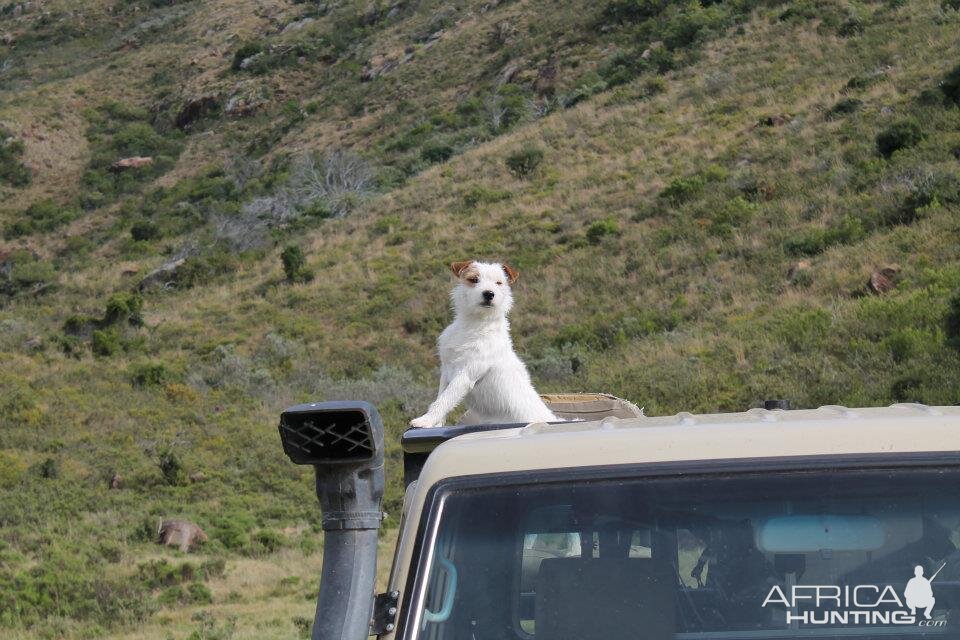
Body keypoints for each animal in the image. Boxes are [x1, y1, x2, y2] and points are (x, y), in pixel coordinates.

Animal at [408, 258, 560, 428]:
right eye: (474, 279)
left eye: (499, 283)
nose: (489, 293)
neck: (474, 324)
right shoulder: (446, 371)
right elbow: (441, 396)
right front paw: (436, 424)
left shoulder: (465, 375)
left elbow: (444, 400)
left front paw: (425, 420)